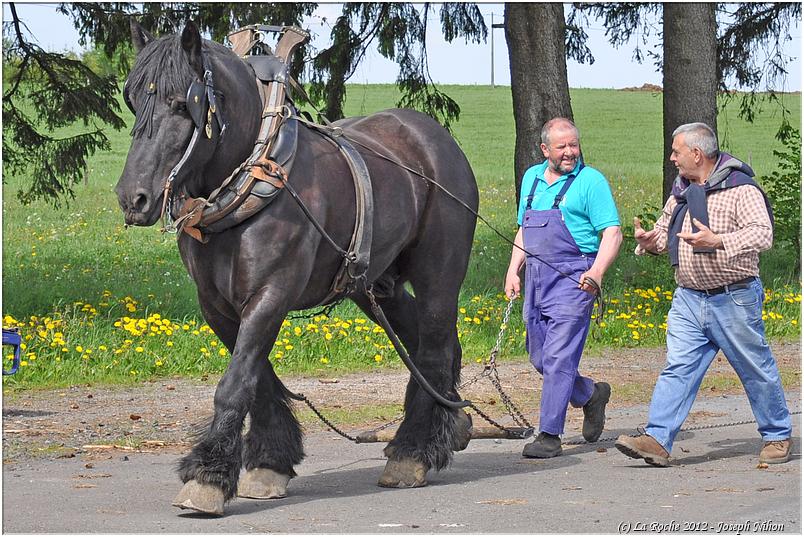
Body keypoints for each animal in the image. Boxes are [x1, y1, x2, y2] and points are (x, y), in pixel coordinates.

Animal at [117, 22, 480, 516]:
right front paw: (270, 462)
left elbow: (237, 382)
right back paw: (452, 422)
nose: (132, 198)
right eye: (134, 100)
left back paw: (412, 452)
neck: (255, 177)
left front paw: (207, 475)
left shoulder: (272, 292)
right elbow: (257, 379)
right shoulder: (217, 305)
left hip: (439, 273)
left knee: (435, 346)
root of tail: (435, 137)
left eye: (180, 103)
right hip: (374, 285)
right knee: (423, 342)